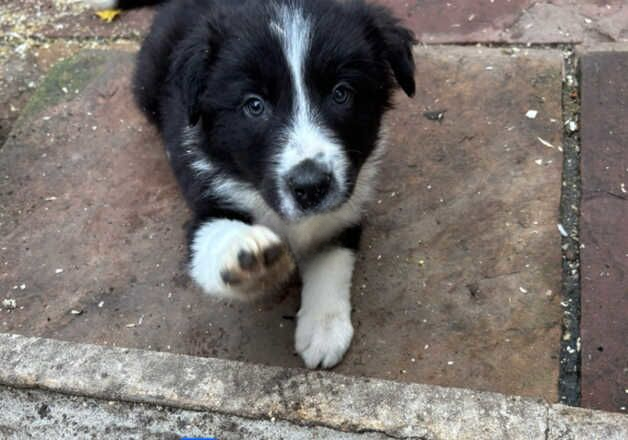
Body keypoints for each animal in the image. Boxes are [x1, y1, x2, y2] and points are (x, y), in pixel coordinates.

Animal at [84, 0, 418, 370]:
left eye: (341, 93)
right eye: (254, 105)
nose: (310, 187)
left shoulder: (348, 203)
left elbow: (333, 259)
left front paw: (324, 327)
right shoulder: (206, 200)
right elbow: (211, 236)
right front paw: (245, 254)